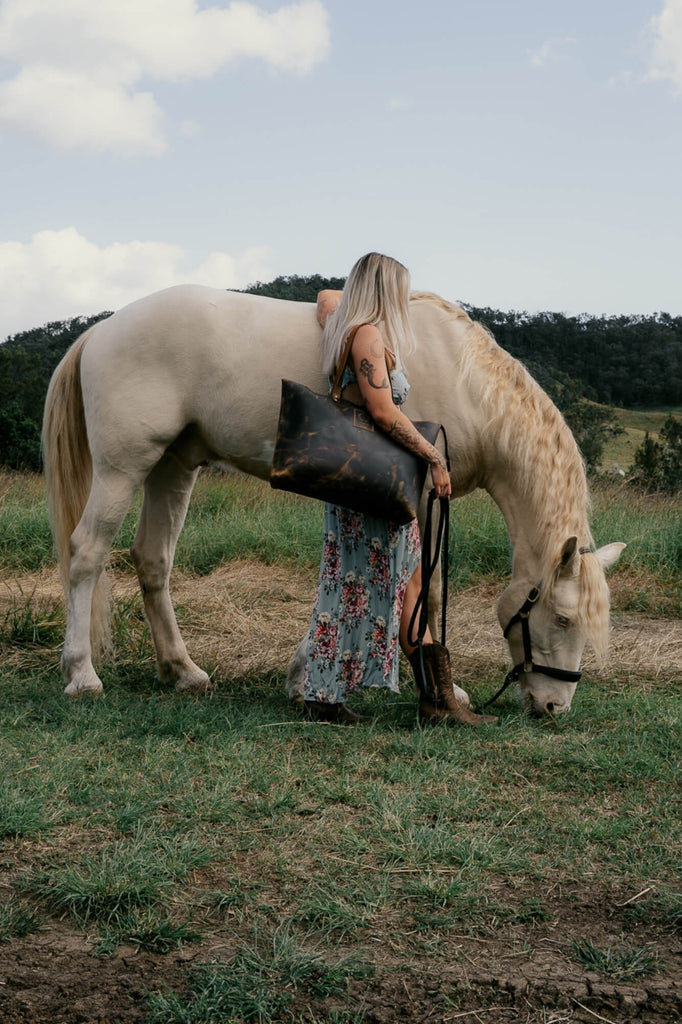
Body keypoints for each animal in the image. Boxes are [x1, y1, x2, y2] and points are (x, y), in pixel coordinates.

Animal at [42, 280, 622, 712]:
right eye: (563, 618)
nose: (555, 707)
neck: (467, 383)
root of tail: (102, 330)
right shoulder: (426, 501)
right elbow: (426, 590)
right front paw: (446, 688)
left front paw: (303, 674)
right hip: (122, 468)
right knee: (87, 555)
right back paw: (82, 676)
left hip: (173, 467)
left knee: (152, 561)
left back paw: (183, 671)